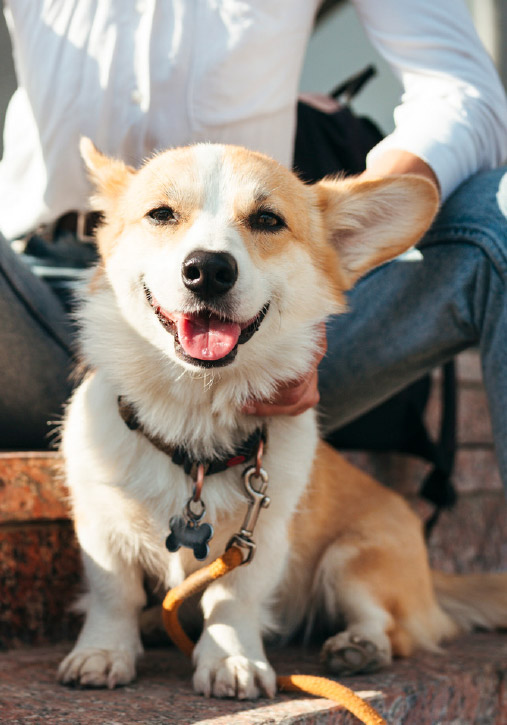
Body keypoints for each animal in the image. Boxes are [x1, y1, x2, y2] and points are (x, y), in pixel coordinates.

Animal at [58, 139, 507, 700]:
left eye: (267, 220)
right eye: (161, 214)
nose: (208, 269)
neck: (194, 418)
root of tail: (431, 574)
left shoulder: (261, 537)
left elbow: (231, 599)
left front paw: (232, 660)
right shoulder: (100, 523)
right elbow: (112, 592)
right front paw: (103, 652)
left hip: (354, 561)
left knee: (393, 626)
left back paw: (360, 646)